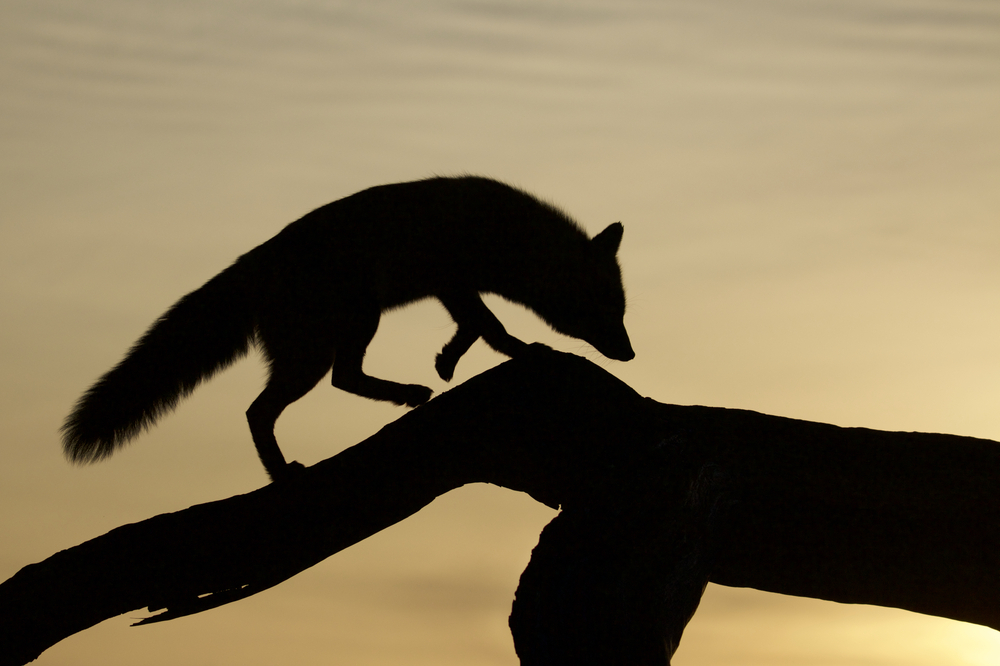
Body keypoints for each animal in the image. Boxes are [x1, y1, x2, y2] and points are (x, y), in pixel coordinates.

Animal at [62, 175, 636, 478]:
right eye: (608, 310)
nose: (630, 354)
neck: (503, 231)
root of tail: (257, 259)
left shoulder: (451, 286)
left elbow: (473, 328)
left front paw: (447, 361)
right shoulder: (452, 278)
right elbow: (491, 327)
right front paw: (522, 351)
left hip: (342, 334)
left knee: (337, 381)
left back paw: (406, 394)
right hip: (338, 336)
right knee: (267, 407)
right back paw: (283, 474)